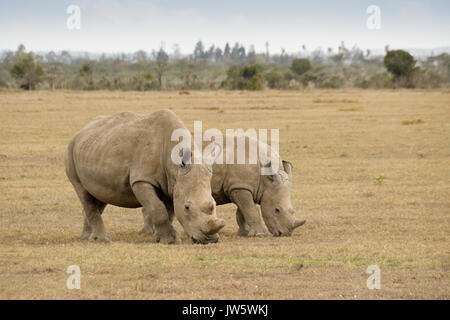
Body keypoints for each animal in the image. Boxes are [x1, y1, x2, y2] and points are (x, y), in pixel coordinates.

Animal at [64, 109, 225, 244]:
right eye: (187, 207)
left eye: (214, 204)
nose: (209, 240)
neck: (174, 166)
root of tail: (80, 131)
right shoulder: (141, 179)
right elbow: (158, 208)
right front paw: (170, 240)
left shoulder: (172, 183)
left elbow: (169, 211)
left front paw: (161, 237)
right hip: (70, 151)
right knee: (82, 192)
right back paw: (102, 240)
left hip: (95, 148)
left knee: (99, 196)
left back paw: (87, 237)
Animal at [142, 135, 306, 238]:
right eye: (277, 210)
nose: (284, 234)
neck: (266, 178)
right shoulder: (240, 186)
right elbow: (250, 210)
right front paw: (259, 235)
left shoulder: (241, 186)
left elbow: (242, 212)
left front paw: (244, 233)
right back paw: (150, 233)